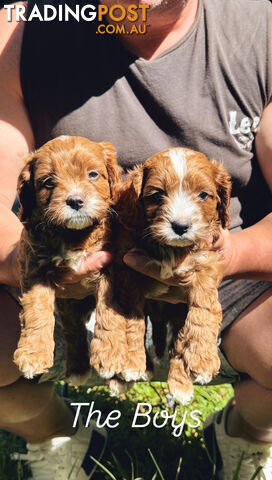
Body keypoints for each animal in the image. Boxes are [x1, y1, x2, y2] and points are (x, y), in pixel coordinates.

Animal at [13, 136, 120, 382]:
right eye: (49, 182)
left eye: (93, 174)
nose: (75, 201)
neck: (73, 234)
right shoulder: (35, 268)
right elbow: (37, 311)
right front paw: (33, 355)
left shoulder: (111, 266)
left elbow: (109, 312)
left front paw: (110, 356)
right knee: (73, 329)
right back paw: (78, 368)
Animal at [90, 147, 231, 404]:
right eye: (157, 195)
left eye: (203, 195)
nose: (180, 226)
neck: (170, 249)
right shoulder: (127, 270)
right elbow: (132, 319)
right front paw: (132, 363)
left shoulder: (206, 264)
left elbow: (205, 309)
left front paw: (202, 358)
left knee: (178, 340)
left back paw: (180, 384)